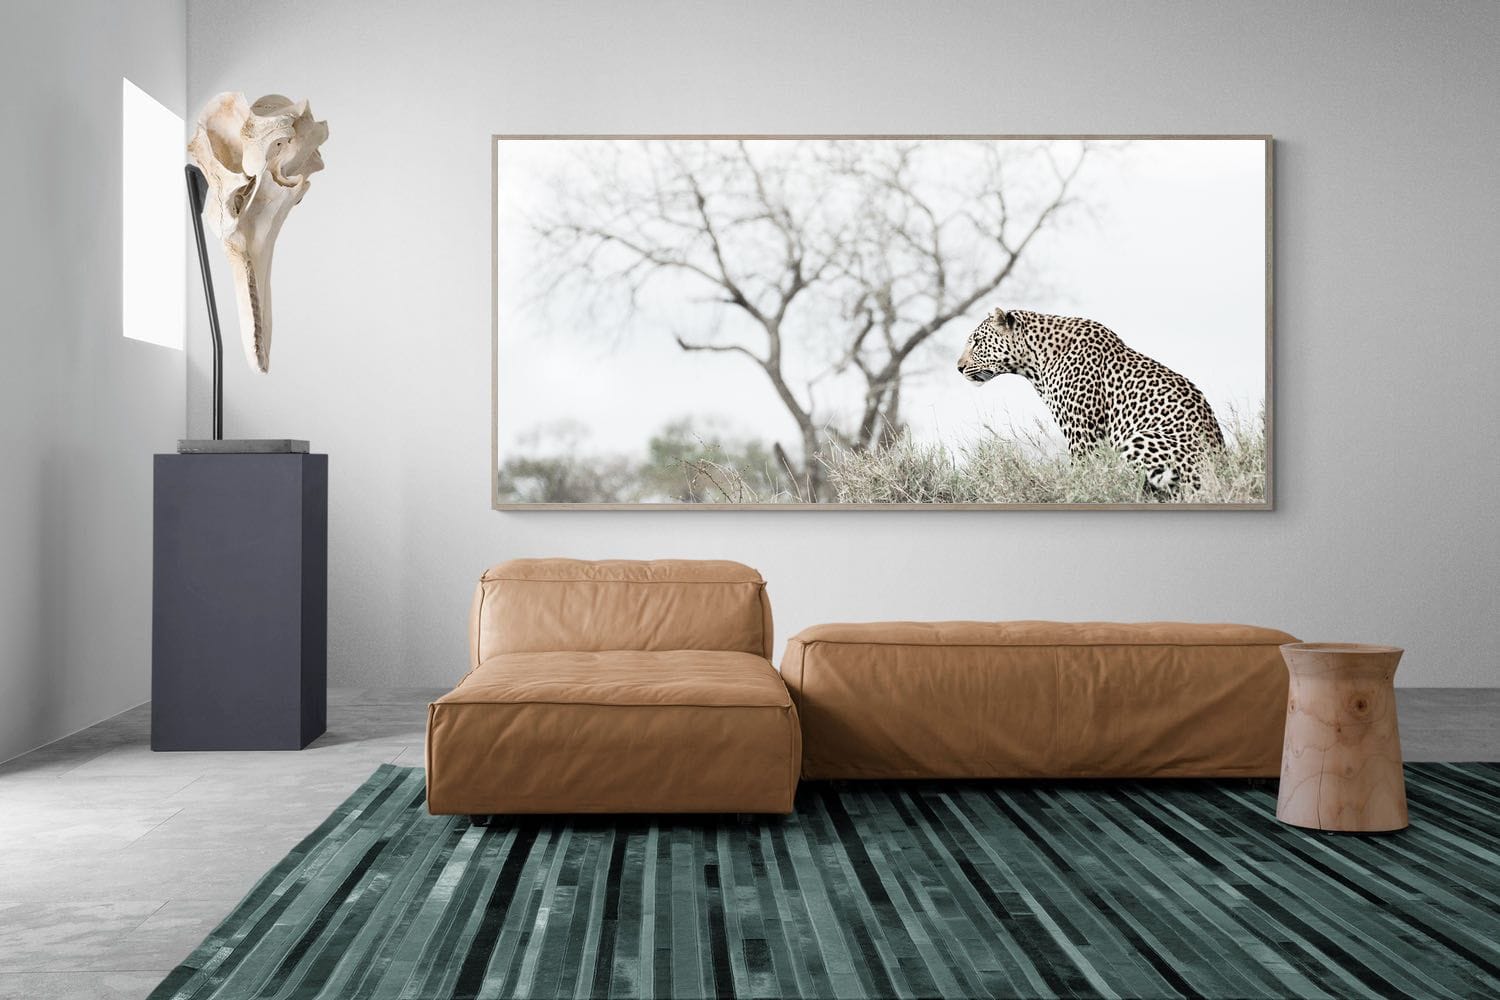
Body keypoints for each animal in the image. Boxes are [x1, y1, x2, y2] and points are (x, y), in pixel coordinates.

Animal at [957, 307, 1225, 495]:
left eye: (977, 342)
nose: (958, 367)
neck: (1034, 360)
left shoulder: (1082, 432)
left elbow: (1082, 471)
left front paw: (1076, 491)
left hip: (1141, 439)